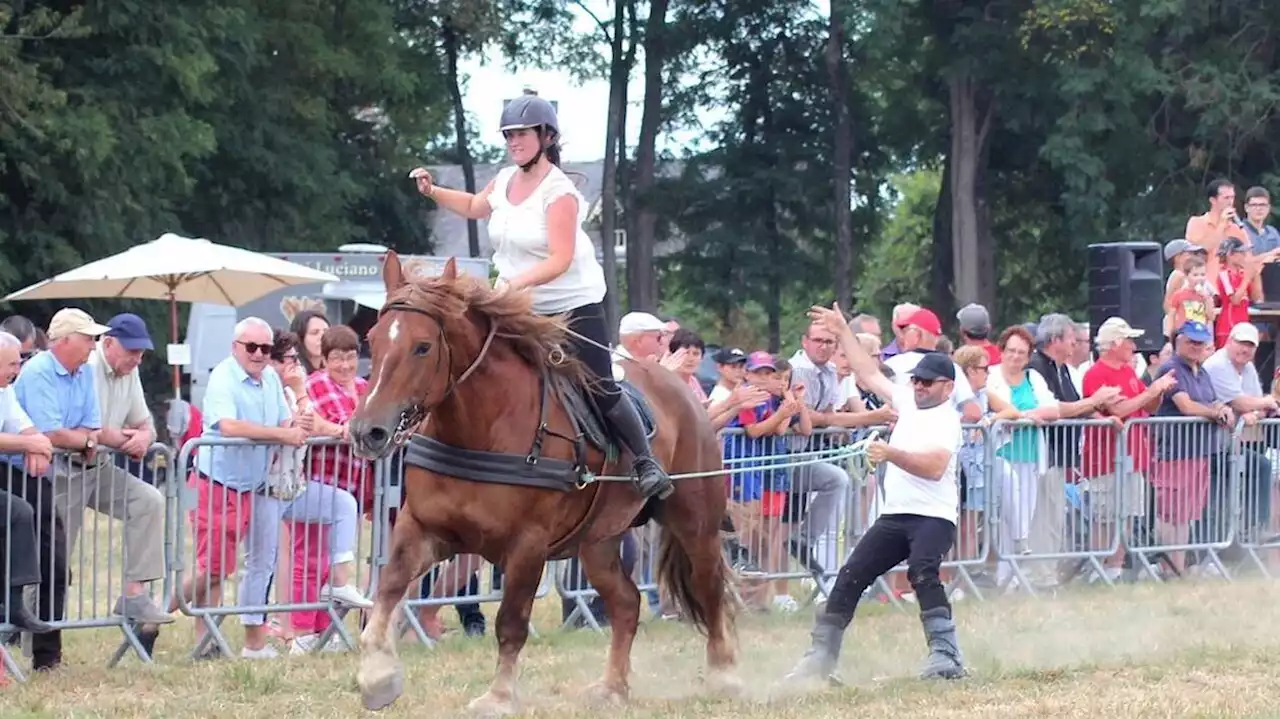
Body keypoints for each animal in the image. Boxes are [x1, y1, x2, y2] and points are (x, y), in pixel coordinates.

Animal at [348, 252, 742, 711]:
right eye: (372, 339)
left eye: (422, 346)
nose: (368, 431)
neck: (483, 426)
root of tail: (686, 394)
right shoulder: (424, 528)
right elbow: (389, 588)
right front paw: (378, 676)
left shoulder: (527, 545)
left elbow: (512, 622)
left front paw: (499, 697)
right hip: (598, 541)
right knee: (627, 603)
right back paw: (612, 687)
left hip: (695, 522)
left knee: (709, 587)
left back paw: (724, 674)